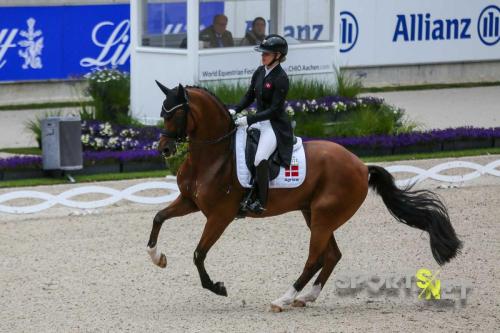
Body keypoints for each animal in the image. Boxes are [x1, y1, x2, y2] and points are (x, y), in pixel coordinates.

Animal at [146, 81, 462, 312]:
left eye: (174, 113)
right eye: (162, 112)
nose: (164, 149)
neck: (213, 156)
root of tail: (361, 166)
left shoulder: (220, 216)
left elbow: (198, 254)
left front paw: (218, 287)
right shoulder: (190, 202)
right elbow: (158, 217)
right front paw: (157, 257)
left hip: (323, 216)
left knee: (314, 258)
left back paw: (283, 299)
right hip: (314, 213)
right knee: (331, 255)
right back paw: (305, 298)